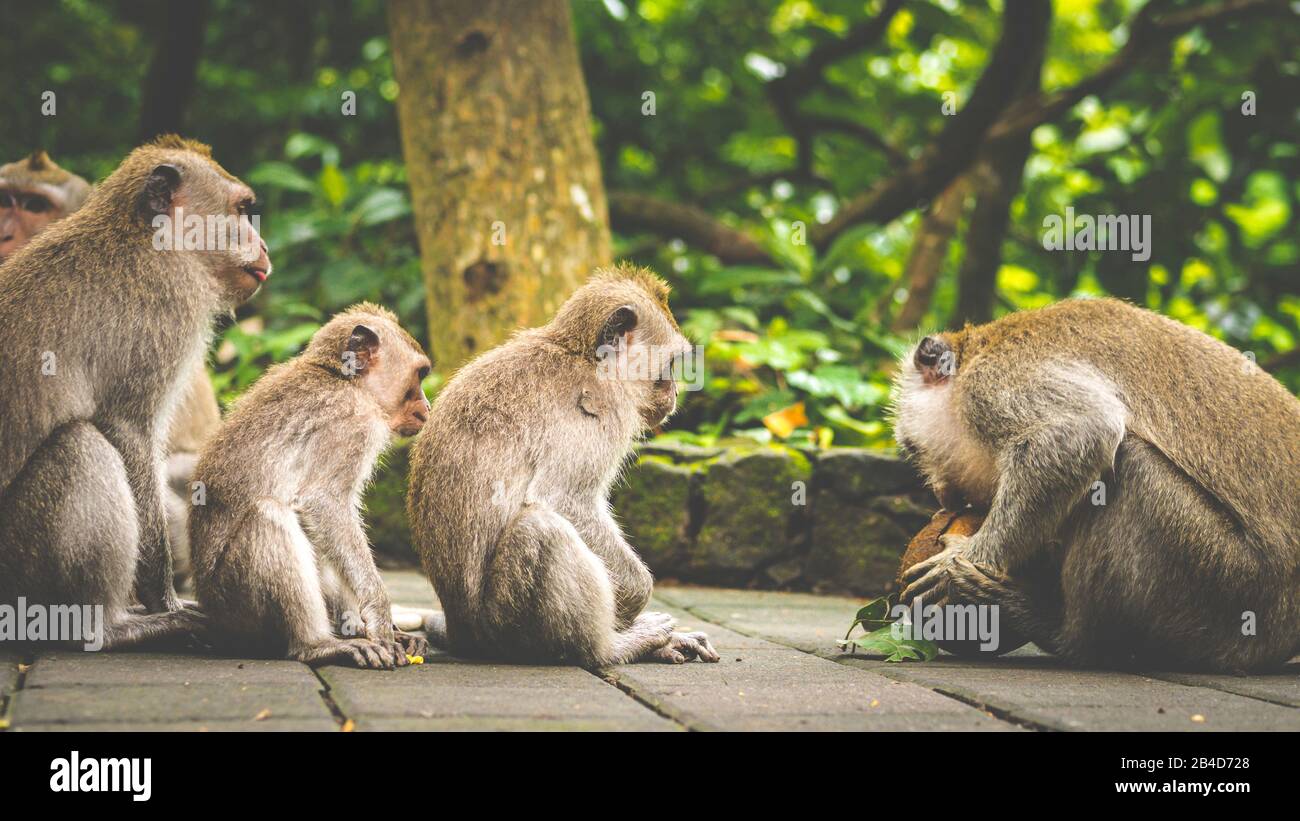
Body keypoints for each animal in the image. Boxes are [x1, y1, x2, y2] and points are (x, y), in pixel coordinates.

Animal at [0, 134, 269, 646]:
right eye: (242, 210)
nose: (263, 244)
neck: (143, 235)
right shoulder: (168, 307)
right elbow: (128, 432)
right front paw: (162, 598)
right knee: (79, 447)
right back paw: (107, 628)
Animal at [189, 305, 431, 670]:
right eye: (419, 375)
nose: (428, 408)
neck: (344, 381)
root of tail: (215, 620)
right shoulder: (353, 425)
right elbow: (325, 503)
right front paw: (379, 613)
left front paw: (384, 629)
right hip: (236, 602)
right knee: (269, 515)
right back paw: (316, 645)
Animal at [408, 266, 722, 665]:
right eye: (670, 365)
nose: (676, 393)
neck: (583, 356)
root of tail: (461, 632)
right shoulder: (599, 412)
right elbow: (561, 499)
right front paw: (637, 594)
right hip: (505, 628)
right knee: (542, 529)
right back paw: (609, 648)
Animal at [894, 298, 1300, 670]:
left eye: (912, 448)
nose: (942, 494)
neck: (975, 351)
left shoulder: (990, 384)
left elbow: (1080, 432)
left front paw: (965, 559)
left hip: (1231, 584)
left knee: (1131, 464)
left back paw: (1065, 635)